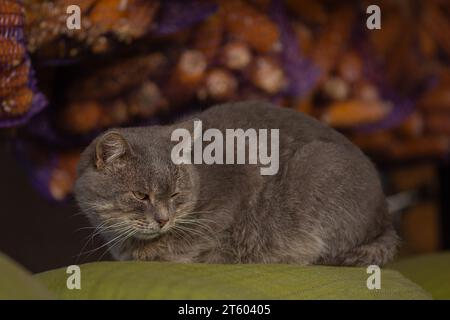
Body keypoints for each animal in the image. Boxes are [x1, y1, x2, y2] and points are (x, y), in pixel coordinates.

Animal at [75, 101, 400, 266]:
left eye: (176, 194)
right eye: (141, 195)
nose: (163, 219)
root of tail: (386, 217)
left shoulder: (238, 182)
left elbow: (193, 236)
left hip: (319, 166)